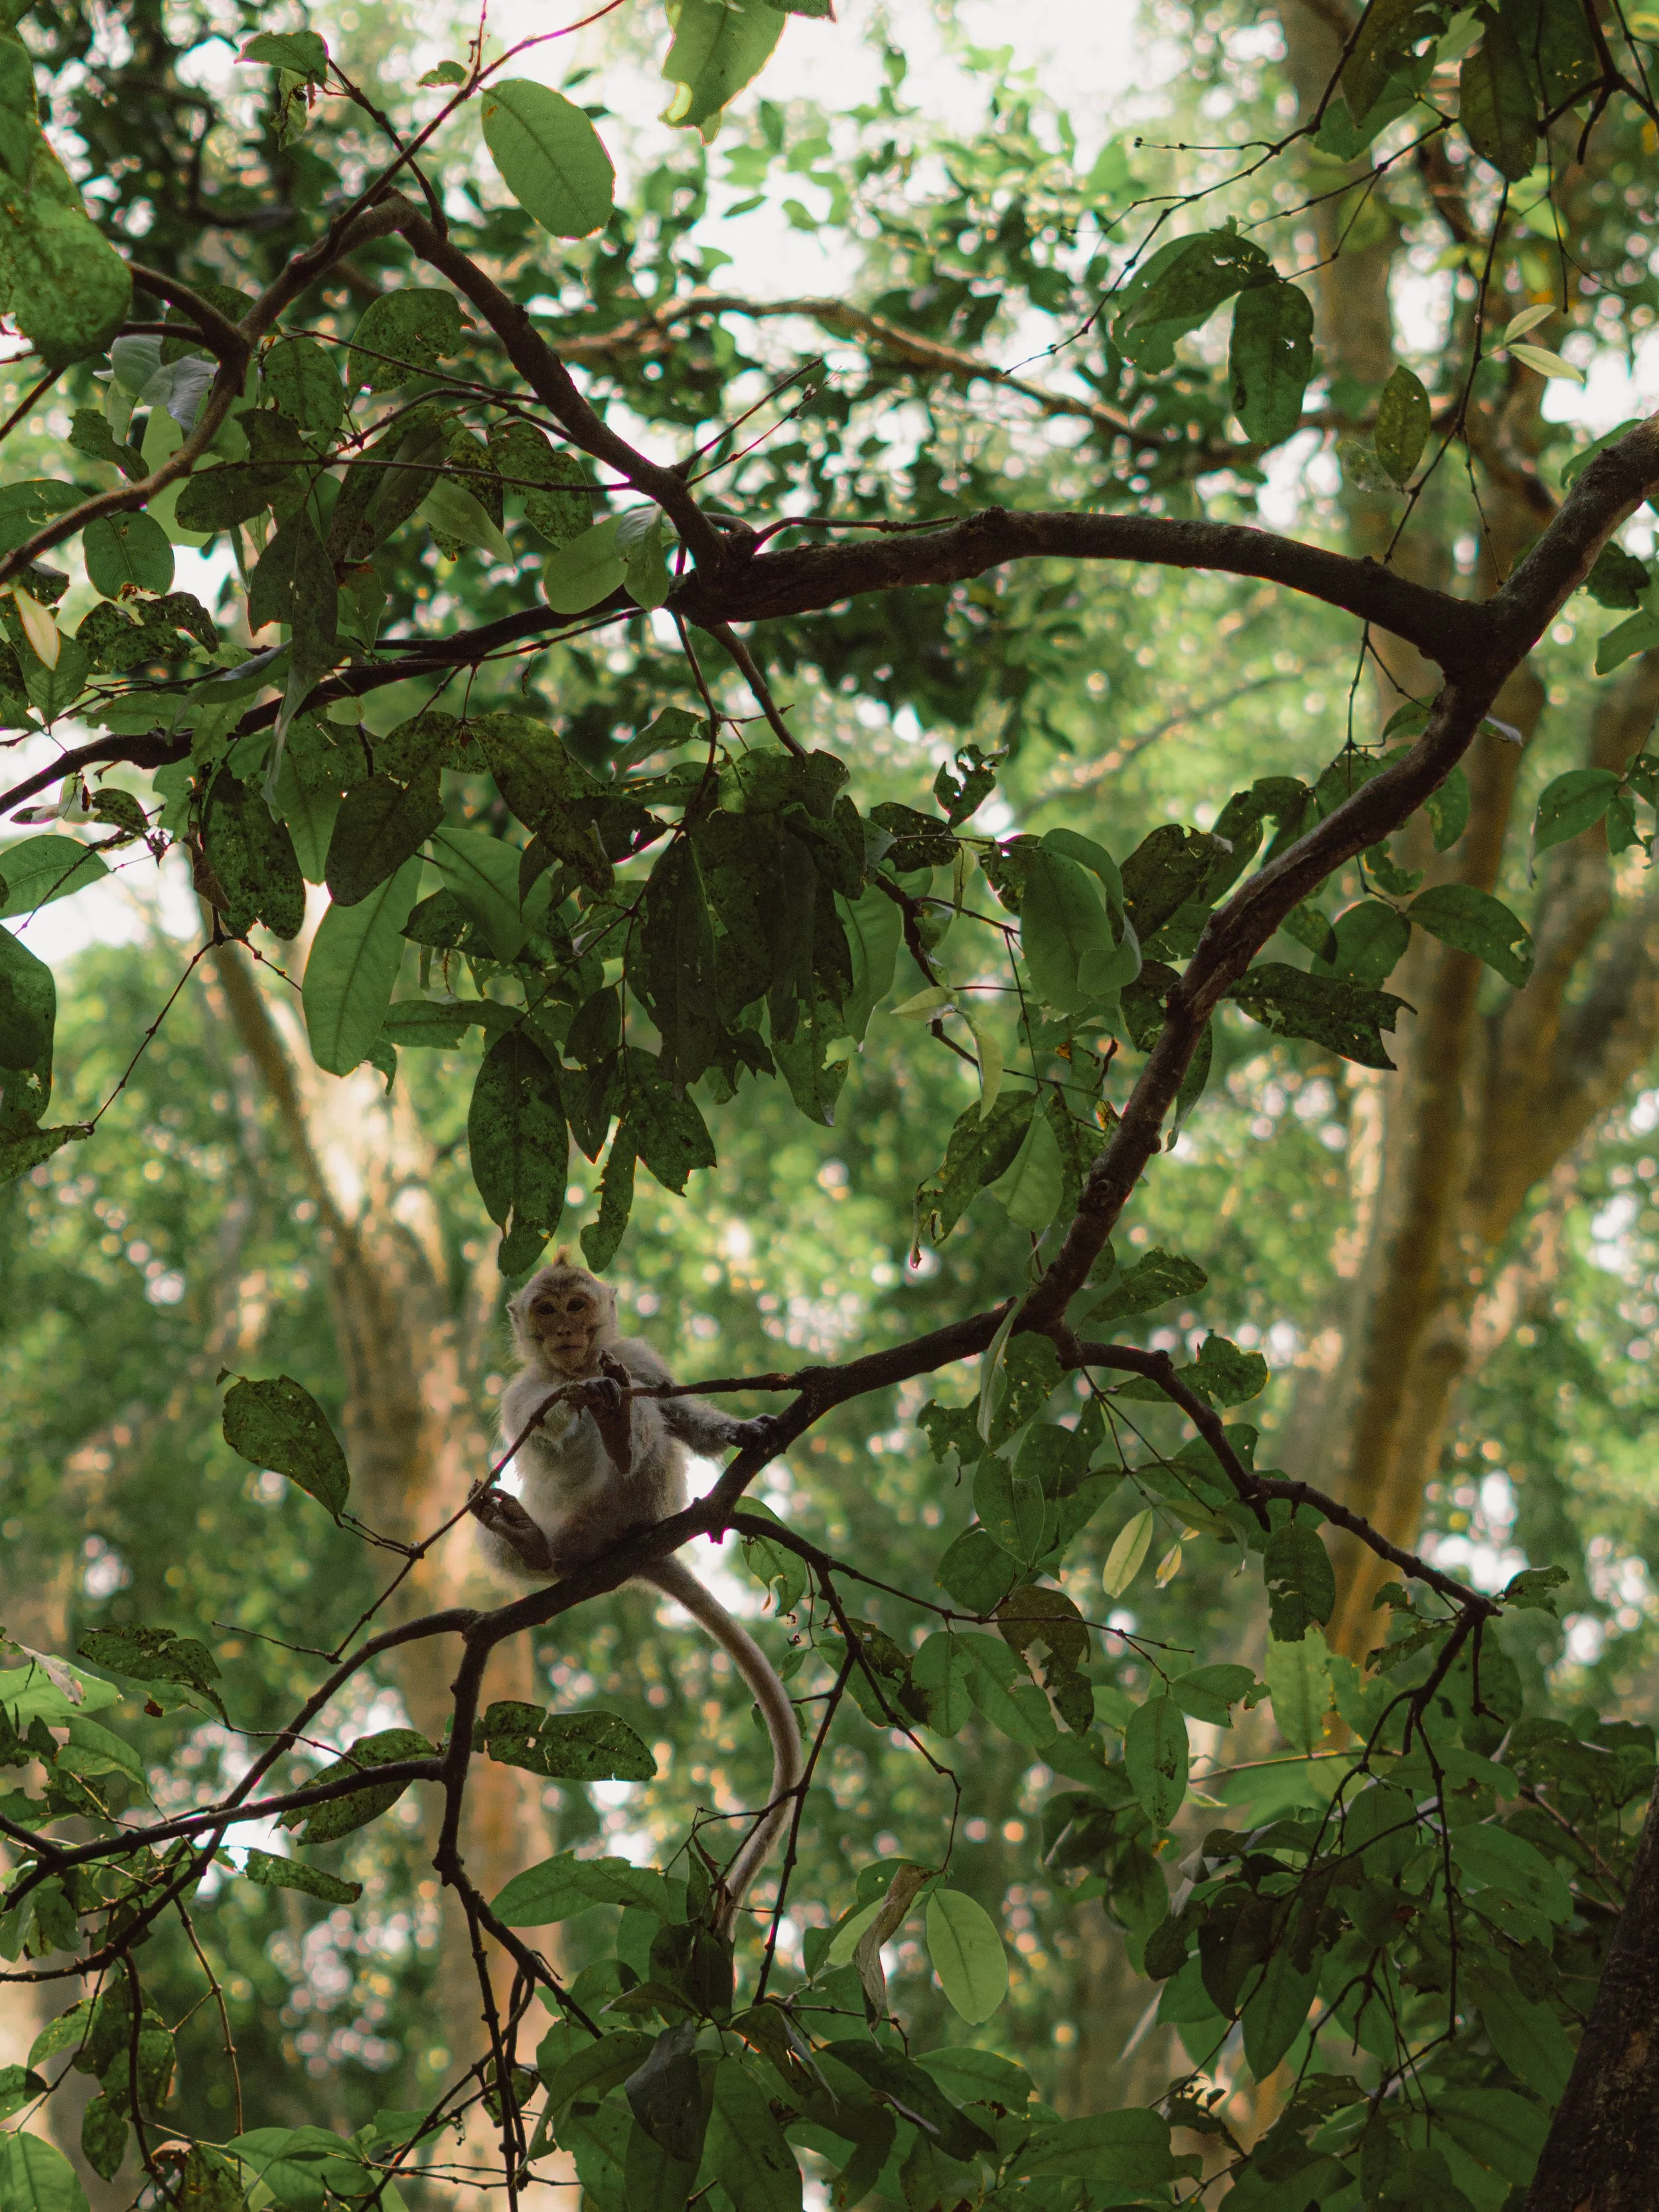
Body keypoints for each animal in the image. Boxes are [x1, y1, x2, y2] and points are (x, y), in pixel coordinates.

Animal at [470, 1255, 803, 1935]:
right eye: (546, 1310)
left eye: (576, 1304)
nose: (565, 1331)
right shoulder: (527, 1387)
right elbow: (538, 1422)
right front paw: (571, 1412)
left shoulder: (632, 1356)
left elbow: (677, 1414)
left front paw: (740, 1428)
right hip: (570, 1525)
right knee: (513, 1536)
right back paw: (534, 1542)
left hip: (642, 1495)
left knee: (651, 1428)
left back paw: (620, 1432)